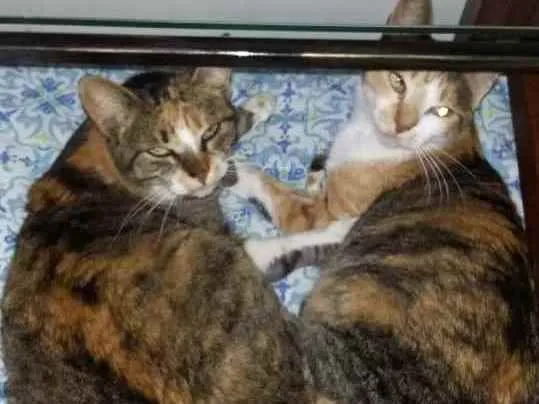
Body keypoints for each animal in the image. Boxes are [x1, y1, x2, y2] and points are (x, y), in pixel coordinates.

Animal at [228, 0, 539, 402]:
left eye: (440, 111)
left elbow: (281, 196)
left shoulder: (324, 213)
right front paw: (314, 171)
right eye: (398, 81)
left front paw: (235, 170)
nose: (403, 125)